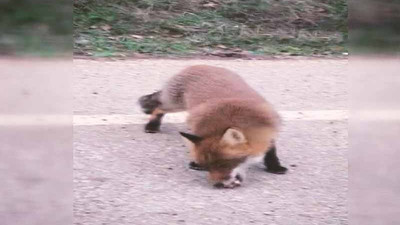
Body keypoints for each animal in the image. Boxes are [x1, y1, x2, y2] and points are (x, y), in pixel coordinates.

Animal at [138, 64, 288, 188]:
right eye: (206, 168)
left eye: (224, 164)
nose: (217, 185)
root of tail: (196, 64)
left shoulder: (270, 131)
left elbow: (271, 151)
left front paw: (275, 166)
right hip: (174, 104)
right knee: (158, 108)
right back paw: (152, 125)